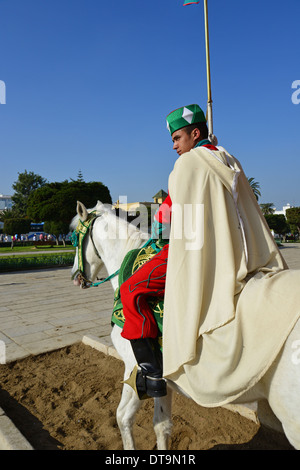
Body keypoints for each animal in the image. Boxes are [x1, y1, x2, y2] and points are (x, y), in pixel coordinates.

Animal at [71, 200, 300, 450]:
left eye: (73, 238)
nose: (75, 277)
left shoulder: (133, 368)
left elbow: (123, 417)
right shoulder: (162, 379)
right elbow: (161, 425)